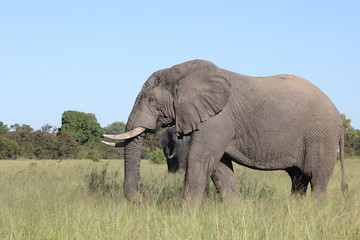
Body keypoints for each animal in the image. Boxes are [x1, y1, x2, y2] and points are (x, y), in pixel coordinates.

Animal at [101, 59, 346, 201]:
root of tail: (339, 116)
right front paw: (237, 210)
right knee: (298, 178)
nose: (143, 192)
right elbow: (220, 168)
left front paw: (186, 214)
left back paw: (313, 211)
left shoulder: (217, 119)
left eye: (151, 100)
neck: (184, 73)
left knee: (317, 179)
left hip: (320, 135)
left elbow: (200, 160)